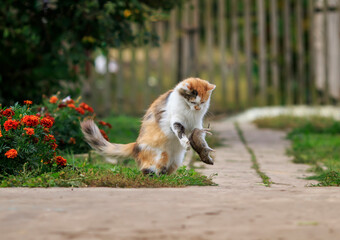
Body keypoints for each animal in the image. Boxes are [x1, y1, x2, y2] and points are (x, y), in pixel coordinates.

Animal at [80, 77, 215, 174]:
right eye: (193, 101)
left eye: (202, 102)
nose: (197, 108)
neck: (190, 112)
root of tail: (135, 144)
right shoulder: (175, 120)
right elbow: (180, 132)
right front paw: (186, 143)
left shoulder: (197, 125)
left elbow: (200, 137)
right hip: (160, 156)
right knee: (149, 170)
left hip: (176, 160)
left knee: (167, 170)